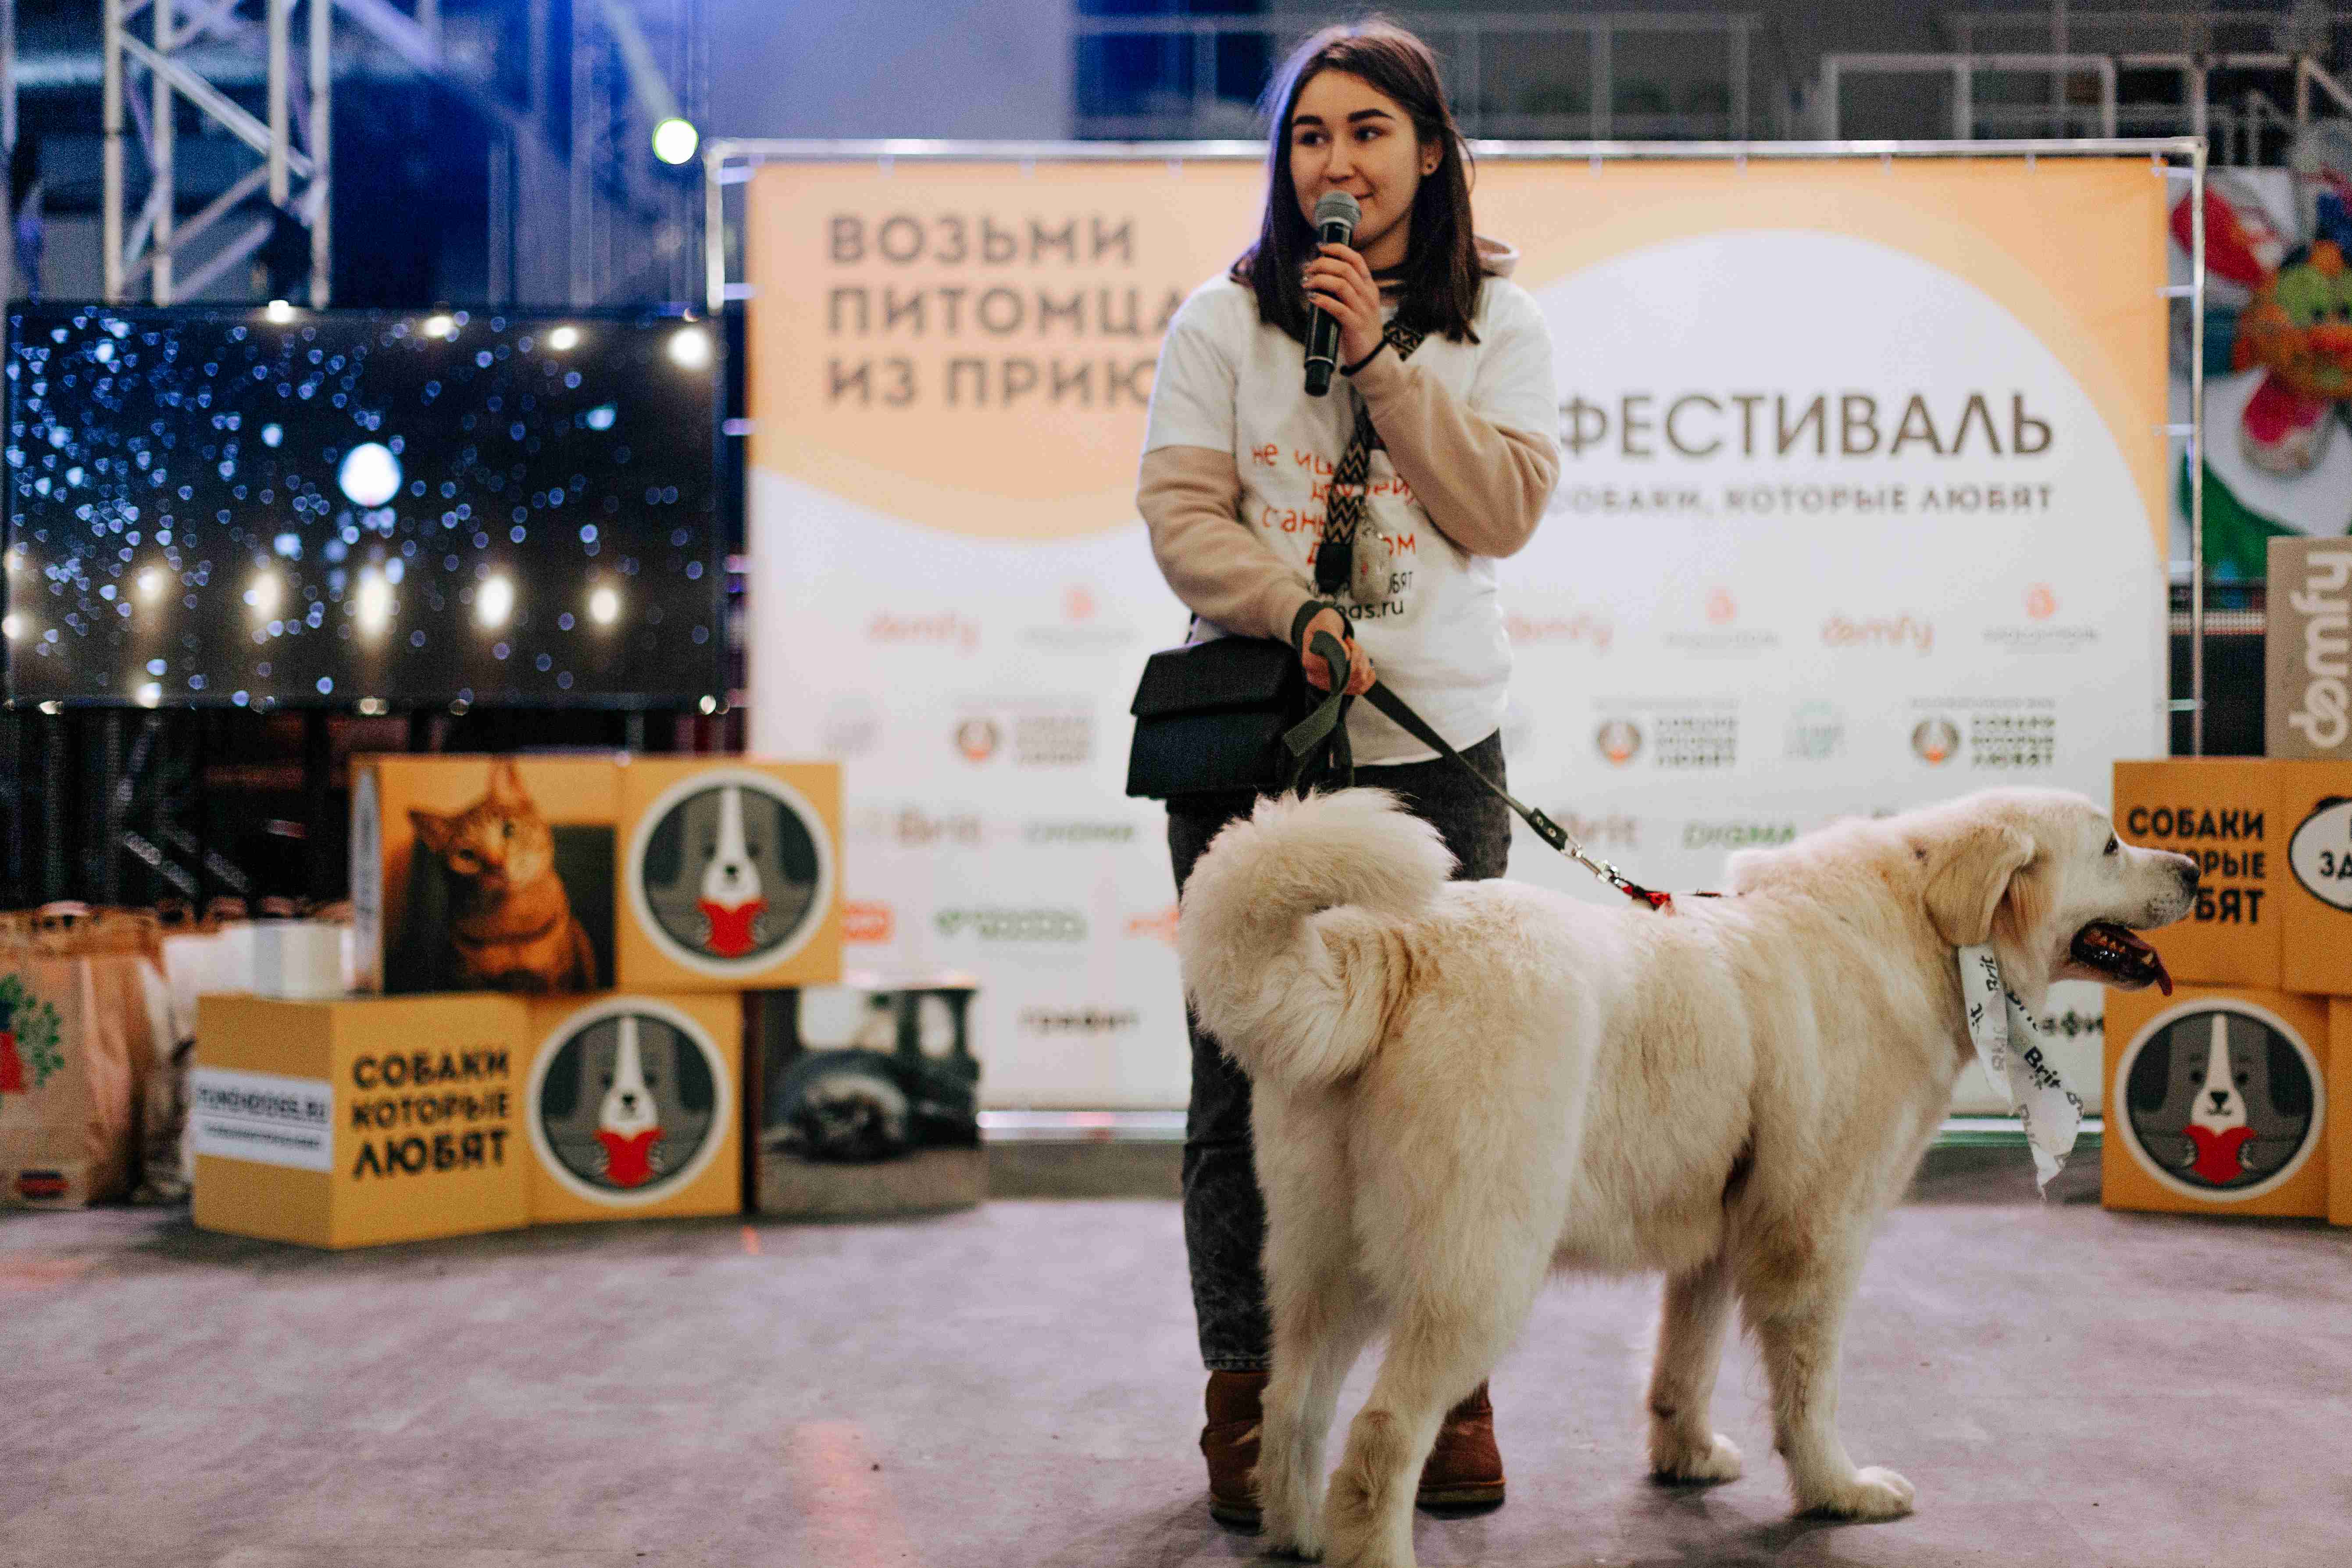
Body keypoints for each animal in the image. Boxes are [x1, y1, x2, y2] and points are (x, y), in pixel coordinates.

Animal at [402, 761, 592, 992]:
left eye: (509, 829)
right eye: (466, 855)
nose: (497, 866)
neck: (510, 929)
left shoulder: (556, 979)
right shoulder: (468, 981)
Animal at [1185, 789, 2192, 1561]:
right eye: (2109, 843)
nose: (2189, 868)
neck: (1920, 924)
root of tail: (1399, 947)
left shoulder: (1715, 1233)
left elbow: (1685, 1359)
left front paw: (1685, 1457)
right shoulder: (1816, 1239)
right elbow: (1808, 1391)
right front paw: (1838, 1490)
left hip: (1322, 1262)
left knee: (1291, 1404)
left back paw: (1297, 1533)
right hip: (1476, 1269)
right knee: (1380, 1437)